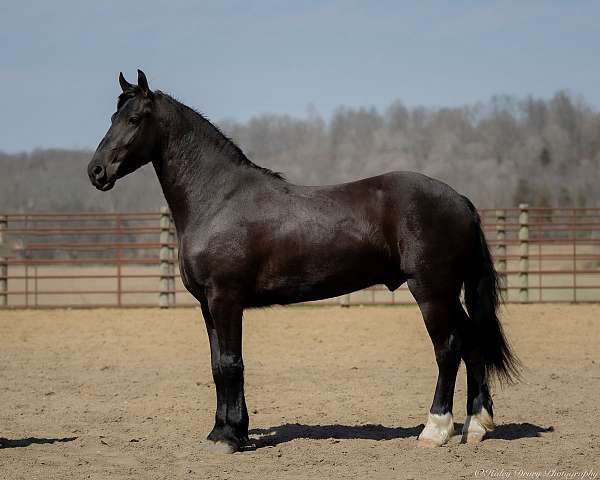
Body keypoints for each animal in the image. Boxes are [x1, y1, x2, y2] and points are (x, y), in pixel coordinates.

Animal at [86, 70, 516, 454]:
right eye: (112, 118)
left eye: (134, 119)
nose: (96, 171)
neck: (217, 199)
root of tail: (460, 200)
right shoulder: (208, 305)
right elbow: (217, 365)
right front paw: (226, 431)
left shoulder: (225, 299)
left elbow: (230, 363)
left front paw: (228, 438)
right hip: (447, 294)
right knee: (472, 342)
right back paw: (476, 426)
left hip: (432, 292)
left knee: (449, 347)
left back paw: (435, 430)